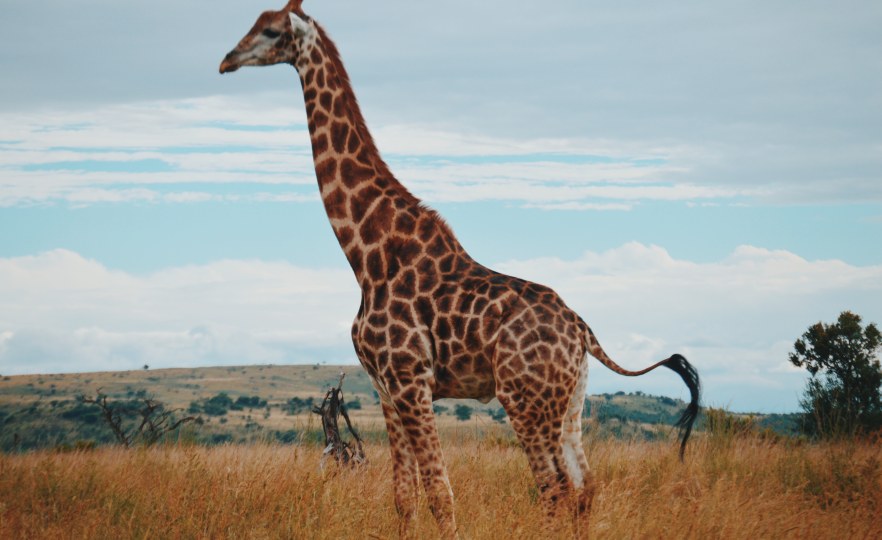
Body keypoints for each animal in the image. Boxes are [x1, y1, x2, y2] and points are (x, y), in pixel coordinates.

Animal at [220, 2, 700, 538]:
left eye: (270, 31)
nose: (225, 61)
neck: (368, 256)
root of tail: (583, 331)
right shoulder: (385, 387)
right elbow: (404, 496)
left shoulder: (412, 380)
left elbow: (440, 494)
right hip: (569, 400)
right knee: (584, 488)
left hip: (524, 399)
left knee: (555, 489)